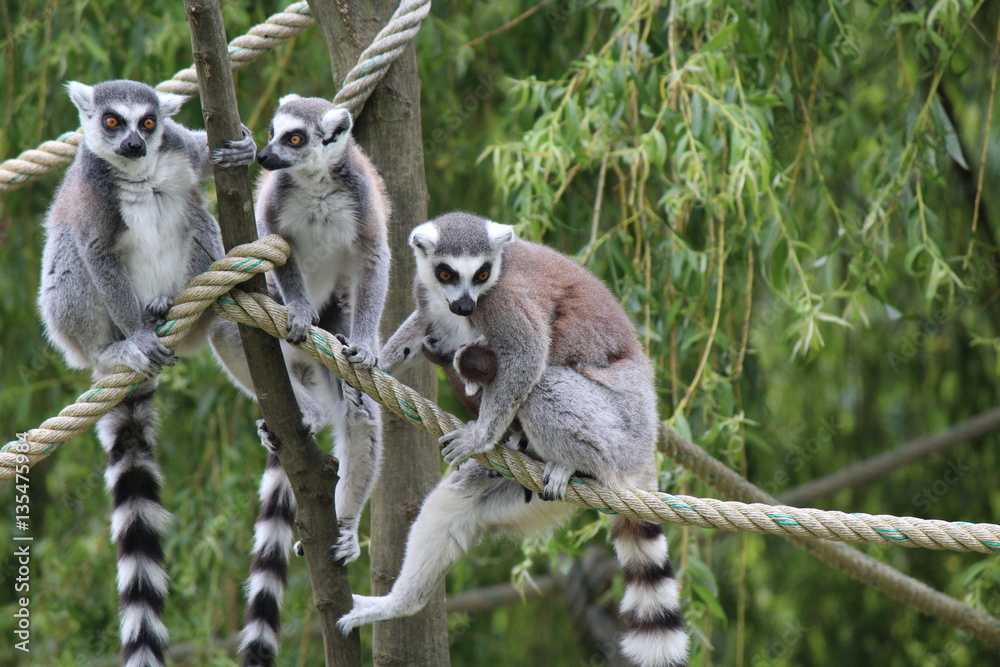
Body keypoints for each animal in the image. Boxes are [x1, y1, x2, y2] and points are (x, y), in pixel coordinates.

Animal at [37, 79, 255, 667]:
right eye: (112, 123)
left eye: (149, 124)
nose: (134, 144)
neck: (136, 174)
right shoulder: (93, 195)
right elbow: (93, 250)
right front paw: (135, 337)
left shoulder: (177, 150)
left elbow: (200, 159)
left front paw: (242, 149)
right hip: (72, 327)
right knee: (68, 253)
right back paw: (122, 347)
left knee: (201, 220)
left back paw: (179, 304)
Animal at [206, 95, 390, 667]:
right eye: (272, 132)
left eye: (295, 138)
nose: (265, 156)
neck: (314, 182)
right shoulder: (274, 205)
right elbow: (279, 249)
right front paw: (301, 311)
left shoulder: (360, 199)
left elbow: (374, 257)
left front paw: (367, 343)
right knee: (227, 323)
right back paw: (301, 409)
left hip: (336, 328)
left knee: (357, 411)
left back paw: (346, 526)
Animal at [336, 212, 688, 667]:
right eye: (446, 273)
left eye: (483, 274)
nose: (465, 306)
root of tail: (646, 446)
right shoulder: (429, 297)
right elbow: (421, 323)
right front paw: (373, 361)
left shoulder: (504, 303)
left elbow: (526, 358)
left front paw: (480, 435)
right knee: (456, 501)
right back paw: (399, 604)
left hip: (621, 429)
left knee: (544, 386)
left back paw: (572, 463)